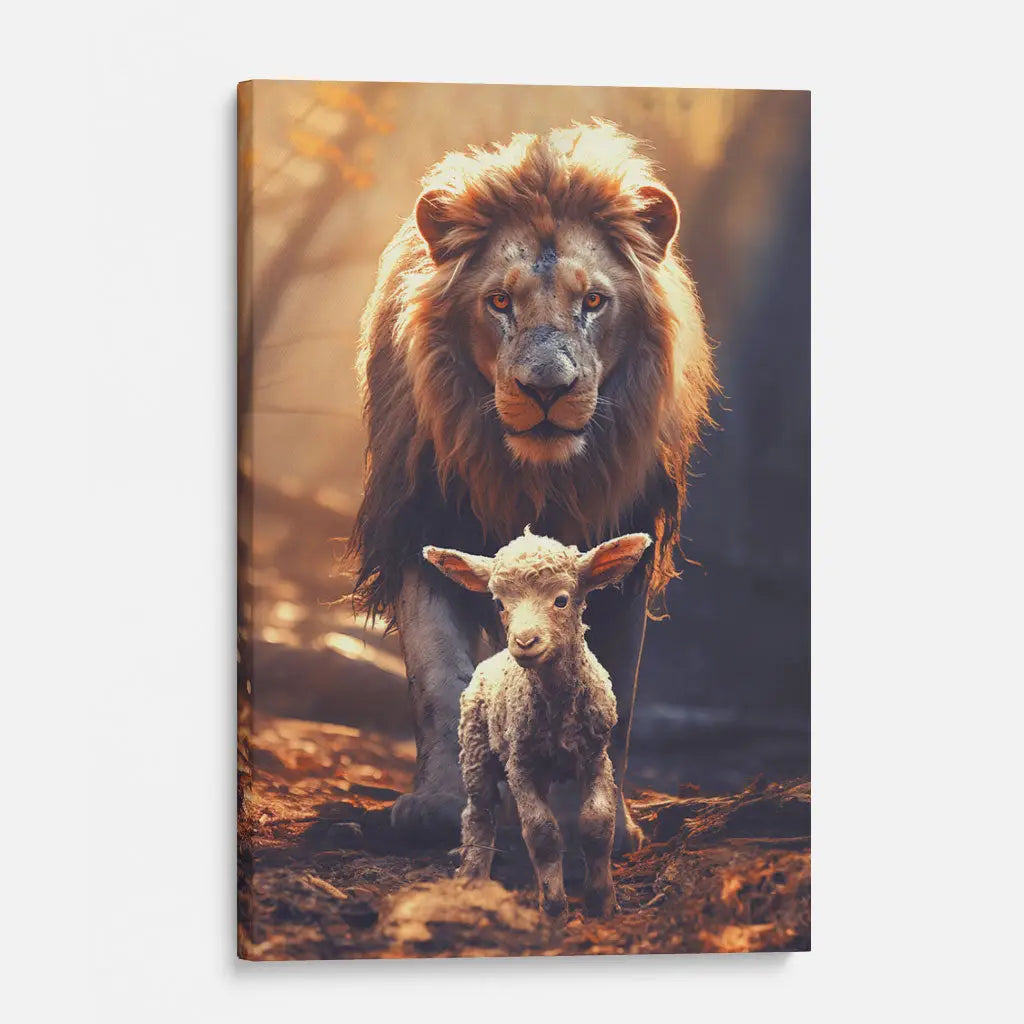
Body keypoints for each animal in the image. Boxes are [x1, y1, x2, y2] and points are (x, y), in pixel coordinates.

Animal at [350, 122, 716, 851]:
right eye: (499, 302)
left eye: (593, 301)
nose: (547, 389)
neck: (537, 480)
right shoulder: (421, 530)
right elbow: (439, 680)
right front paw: (438, 806)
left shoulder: (622, 546)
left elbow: (615, 690)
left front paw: (606, 821)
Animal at [422, 527, 652, 919]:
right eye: (500, 603)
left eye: (561, 600)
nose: (525, 641)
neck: (556, 704)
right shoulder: (521, 764)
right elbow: (542, 832)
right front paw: (555, 903)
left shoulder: (596, 756)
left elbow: (597, 823)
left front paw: (602, 899)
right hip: (477, 749)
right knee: (478, 814)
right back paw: (473, 878)